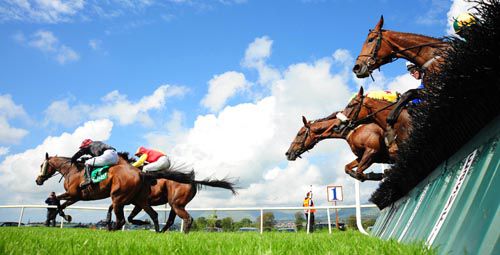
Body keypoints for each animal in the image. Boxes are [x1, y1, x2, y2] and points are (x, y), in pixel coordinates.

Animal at [35, 152, 194, 232]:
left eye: (42, 165)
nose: (38, 180)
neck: (73, 171)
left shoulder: (74, 194)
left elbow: (56, 200)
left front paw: (63, 217)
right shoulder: (76, 197)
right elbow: (60, 205)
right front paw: (61, 217)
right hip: (151, 202)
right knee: (158, 216)